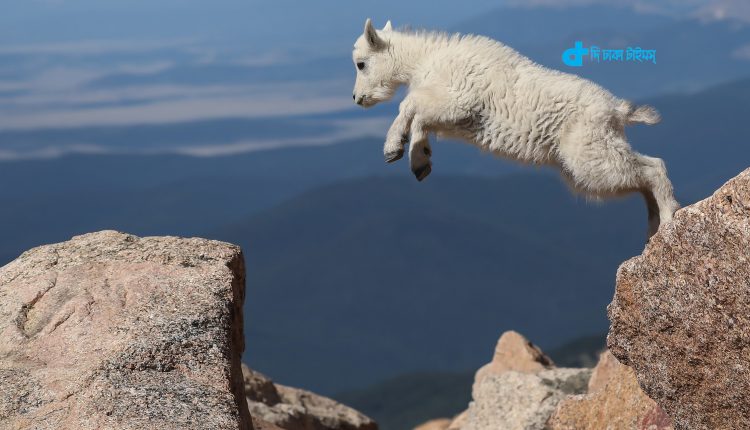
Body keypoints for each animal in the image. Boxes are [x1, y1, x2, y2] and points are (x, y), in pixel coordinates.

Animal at [352, 18, 680, 237]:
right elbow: (420, 119)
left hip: (589, 155)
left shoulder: (456, 102)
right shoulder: (448, 116)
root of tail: (616, 111)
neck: (424, 60)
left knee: (652, 168)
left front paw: (394, 148)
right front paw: (420, 160)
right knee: (642, 175)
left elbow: (409, 106)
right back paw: (652, 230)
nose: (357, 99)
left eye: (361, 64)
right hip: (593, 154)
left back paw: (667, 221)